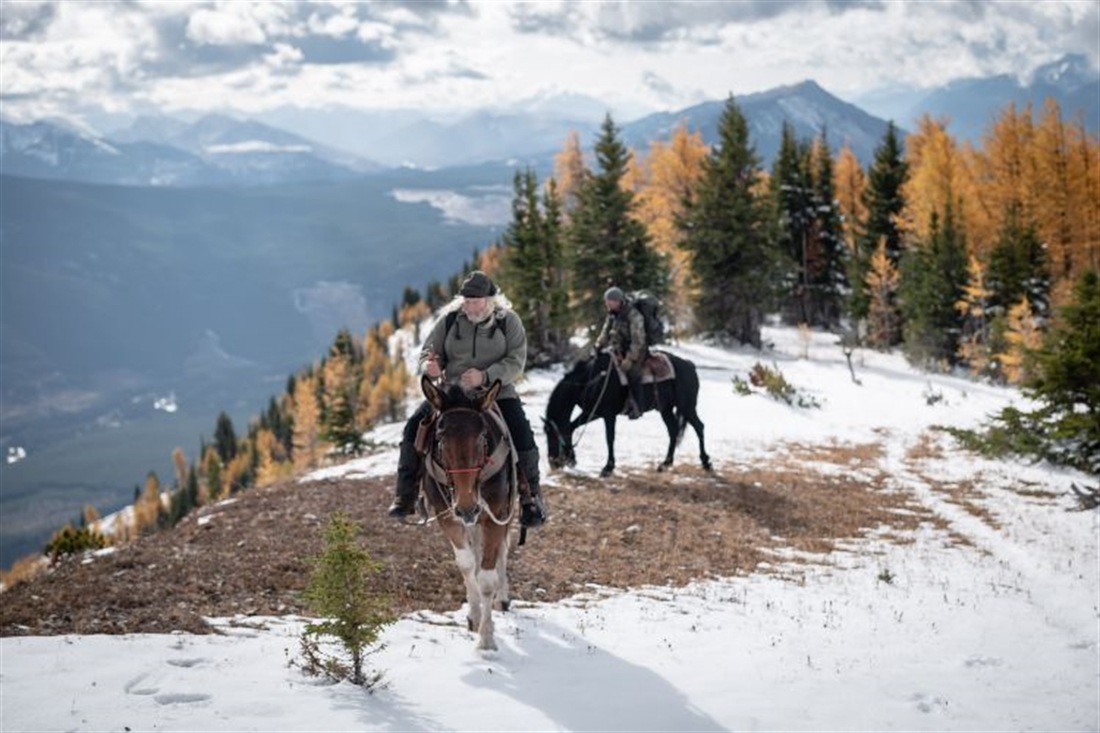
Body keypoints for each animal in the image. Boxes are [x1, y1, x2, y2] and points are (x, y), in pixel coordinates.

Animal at [420, 374, 514, 647]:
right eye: (440, 439)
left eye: (482, 438)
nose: (467, 507)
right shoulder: (448, 516)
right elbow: (466, 564)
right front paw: (474, 616)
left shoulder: (496, 515)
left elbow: (487, 578)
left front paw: (486, 639)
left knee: (503, 550)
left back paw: (503, 598)